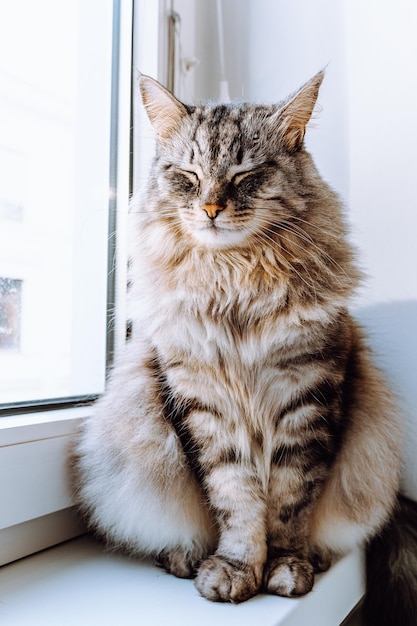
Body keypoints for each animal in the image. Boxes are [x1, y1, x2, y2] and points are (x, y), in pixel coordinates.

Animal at [71, 72, 416, 620]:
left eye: (245, 175)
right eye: (189, 175)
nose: (212, 208)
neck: (236, 283)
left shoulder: (306, 396)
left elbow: (290, 503)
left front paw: (286, 567)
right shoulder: (202, 403)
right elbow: (237, 500)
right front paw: (236, 569)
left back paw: (314, 558)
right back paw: (185, 557)